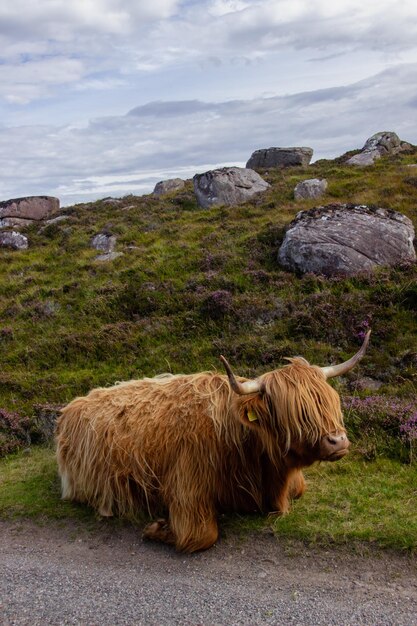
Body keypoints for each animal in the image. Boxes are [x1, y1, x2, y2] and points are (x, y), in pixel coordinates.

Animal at [56, 330, 370, 548]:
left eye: (329, 402)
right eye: (295, 412)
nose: (338, 441)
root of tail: (71, 407)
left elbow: (299, 489)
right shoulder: (187, 487)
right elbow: (201, 535)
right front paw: (156, 528)